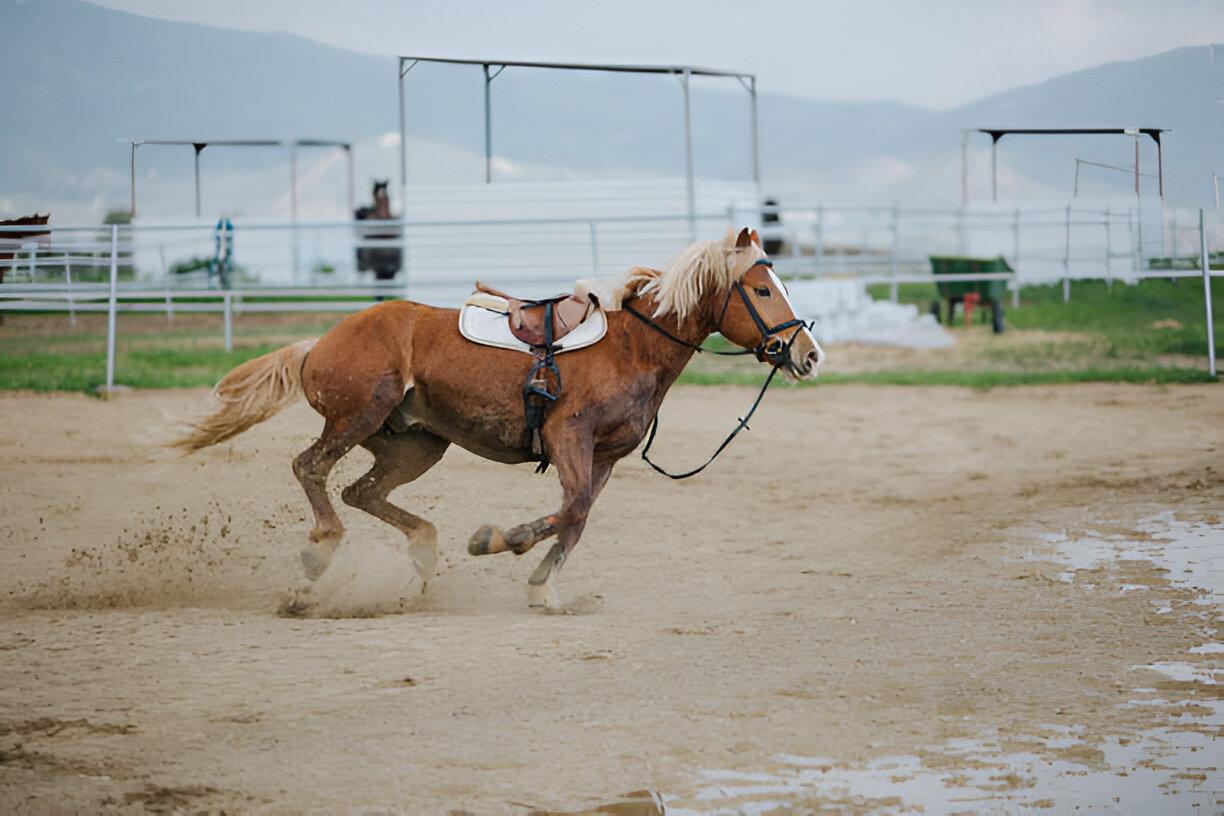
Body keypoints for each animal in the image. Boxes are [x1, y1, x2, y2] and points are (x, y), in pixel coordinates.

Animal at [174, 227, 824, 609]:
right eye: (762, 291)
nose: (809, 354)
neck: (633, 346)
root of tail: (319, 343)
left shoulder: (605, 456)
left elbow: (577, 518)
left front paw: (541, 585)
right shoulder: (568, 436)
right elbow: (571, 509)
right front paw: (496, 541)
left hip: (415, 443)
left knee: (362, 490)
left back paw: (421, 550)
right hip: (358, 415)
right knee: (310, 467)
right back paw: (318, 558)